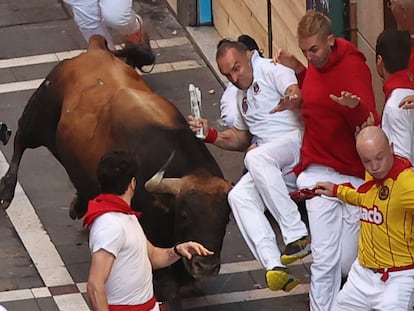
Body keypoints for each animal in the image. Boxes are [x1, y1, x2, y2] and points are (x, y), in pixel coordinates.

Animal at [0, 34, 233, 311]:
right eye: (185, 214)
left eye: (226, 218)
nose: (206, 266)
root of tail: (94, 48)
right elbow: (169, 287)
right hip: (39, 112)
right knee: (20, 140)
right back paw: (6, 192)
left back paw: (80, 203)